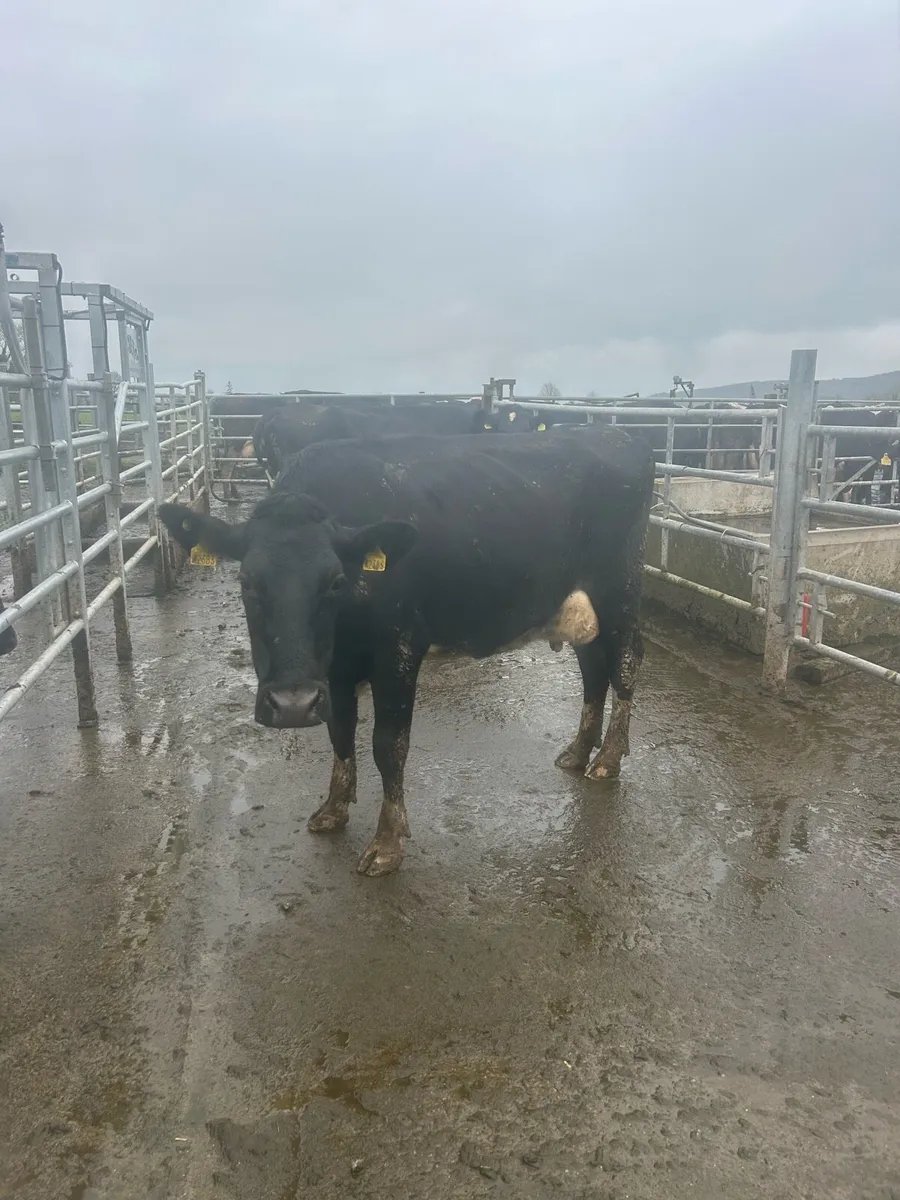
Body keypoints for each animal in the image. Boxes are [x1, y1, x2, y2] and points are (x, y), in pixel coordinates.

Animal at [158, 426, 655, 876]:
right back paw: (578, 751)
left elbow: (388, 746)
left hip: (621, 590)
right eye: (247, 583)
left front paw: (387, 842)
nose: (292, 705)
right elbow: (340, 732)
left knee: (627, 664)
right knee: (593, 669)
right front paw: (333, 808)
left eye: (335, 582)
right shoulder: (335, 672)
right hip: (577, 605)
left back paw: (608, 759)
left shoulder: (398, 651)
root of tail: (618, 436)